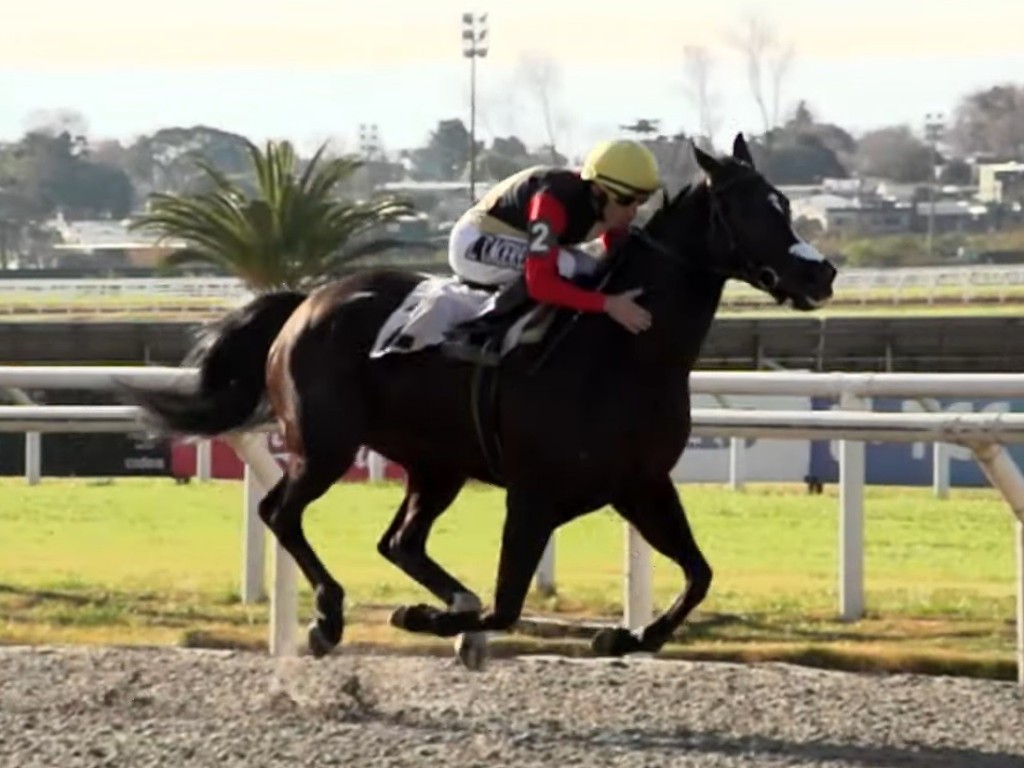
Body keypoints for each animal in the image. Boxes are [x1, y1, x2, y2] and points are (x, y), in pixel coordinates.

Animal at [123, 137, 835, 667]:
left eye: (786, 203)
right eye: (755, 210)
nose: (821, 271)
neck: (622, 357)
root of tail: (306, 300)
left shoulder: (642, 485)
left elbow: (698, 574)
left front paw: (622, 634)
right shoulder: (535, 495)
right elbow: (509, 604)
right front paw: (425, 619)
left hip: (436, 465)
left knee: (399, 541)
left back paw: (443, 601)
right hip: (325, 445)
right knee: (281, 512)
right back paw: (330, 615)